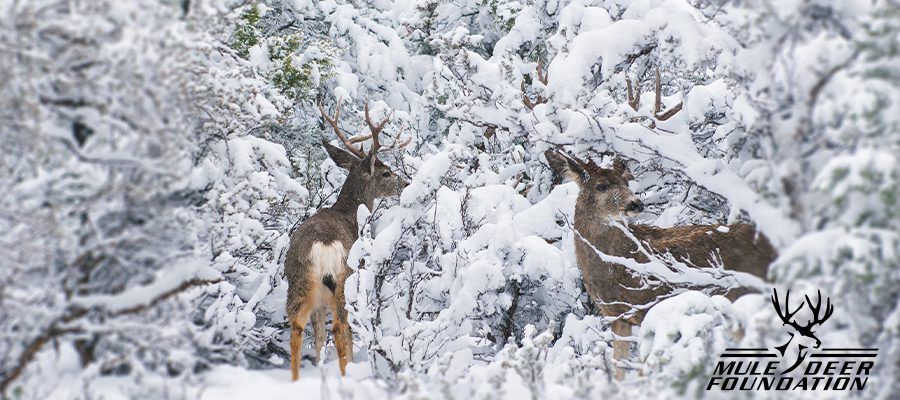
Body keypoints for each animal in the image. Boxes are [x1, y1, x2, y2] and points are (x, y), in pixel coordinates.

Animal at [284, 98, 410, 381]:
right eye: (386, 173)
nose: (407, 183)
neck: (348, 213)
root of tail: (323, 245)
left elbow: (319, 336)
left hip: (300, 280)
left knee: (298, 326)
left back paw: (296, 379)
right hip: (344, 279)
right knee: (341, 327)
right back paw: (347, 373)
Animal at [544, 150, 777, 379]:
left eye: (626, 182)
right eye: (601, 185)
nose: (636, 203)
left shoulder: (647, 306)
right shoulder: (618, 317)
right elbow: (619, 369)